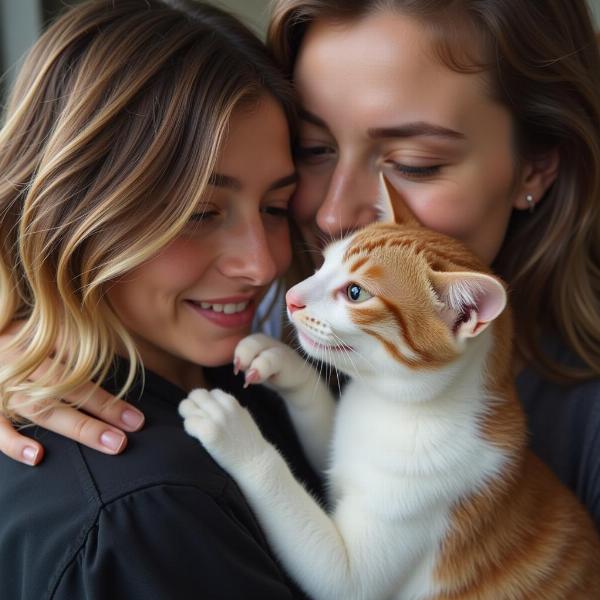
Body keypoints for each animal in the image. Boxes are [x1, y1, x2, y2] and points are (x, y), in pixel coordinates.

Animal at [180, 179, 600, 600]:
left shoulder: (359, 568)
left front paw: (233, 431)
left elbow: (328, 561)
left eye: (355, 293)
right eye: (325, 263)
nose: (291, 297)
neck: (390, 402)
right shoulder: (341, 450)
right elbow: (322, 424)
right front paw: (276, 360)